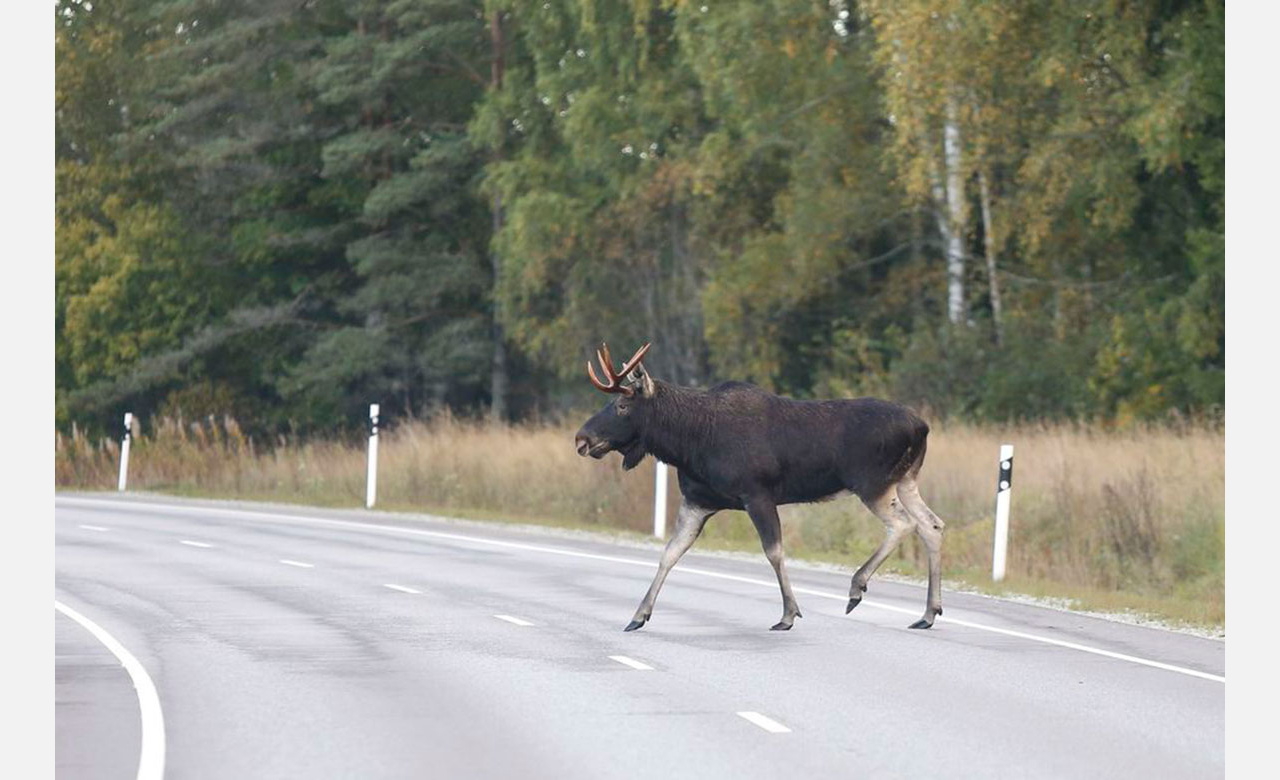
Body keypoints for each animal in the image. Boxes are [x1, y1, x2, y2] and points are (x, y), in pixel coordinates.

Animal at [576, 343, 947, 630]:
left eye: (622, 405)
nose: (582, 439)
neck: (688, 443)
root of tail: (922, 426)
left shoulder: (757, 495)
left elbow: (774, 551)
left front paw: (788, 614)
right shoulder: (698, 501)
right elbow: (669, 553)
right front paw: (638, 615)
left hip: (873, 483)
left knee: (903, 524)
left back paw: (858, 587)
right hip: (905, 480)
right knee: (932, 525)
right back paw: (928, 613)